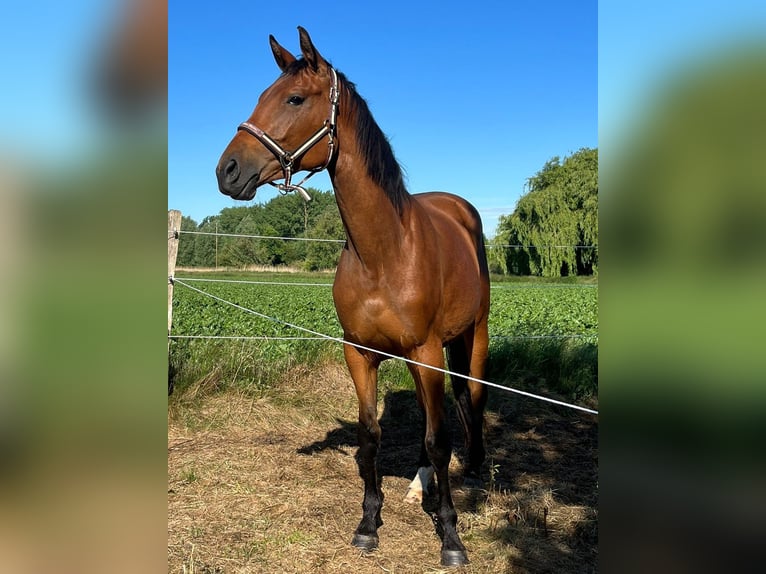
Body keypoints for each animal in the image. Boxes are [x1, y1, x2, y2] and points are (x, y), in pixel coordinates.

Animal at [216, 27, 492, 568]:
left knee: (469, 400)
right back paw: (420, 484)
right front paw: (368, 523)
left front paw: (450, 537)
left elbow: (439, 437)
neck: (383, 252)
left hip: (470, 338)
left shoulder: (427, 352)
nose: (228, 170)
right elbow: (371, 437)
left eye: (295, 98)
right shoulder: (359, 353)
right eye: (261, 96)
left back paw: (472, 472)